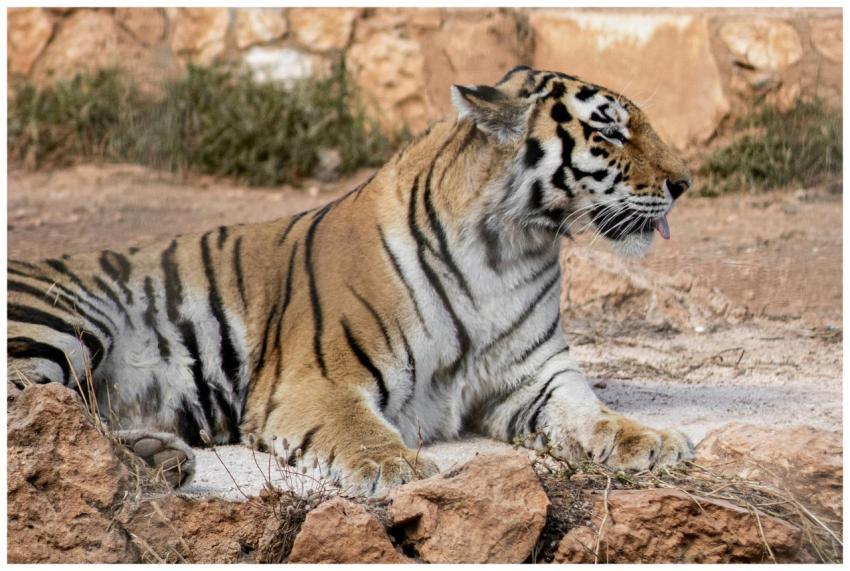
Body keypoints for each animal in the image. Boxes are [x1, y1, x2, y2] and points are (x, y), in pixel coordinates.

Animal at [7, 65, 694, 495]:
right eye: (609, 129)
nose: (685, 183)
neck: (509, 249)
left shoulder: (536, 377)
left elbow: (593, 414)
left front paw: (653, 439)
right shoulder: (317, 382)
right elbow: (360, 431)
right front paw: (398, 468)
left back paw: (159, 461)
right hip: (68, 322)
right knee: (35, 418)